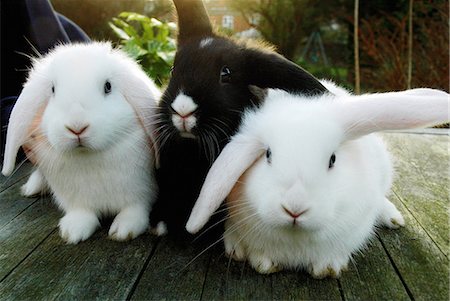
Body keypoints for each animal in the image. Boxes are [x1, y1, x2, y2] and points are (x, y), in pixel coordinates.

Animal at [2, 42, 162, 243]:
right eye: (52, 89)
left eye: (108, 86)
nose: (76, 127)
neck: (89, 158)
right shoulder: (75, 200)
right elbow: (82, 213)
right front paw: (72, 232)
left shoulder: (141, 193)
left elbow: (135, 209)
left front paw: (124, 230)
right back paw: (31, 188)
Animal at [185, 81, 448, 276]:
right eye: (267, 155)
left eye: (332, 159)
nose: (295, 209)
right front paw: (262, 262)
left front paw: (328, 268)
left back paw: (393, 218)